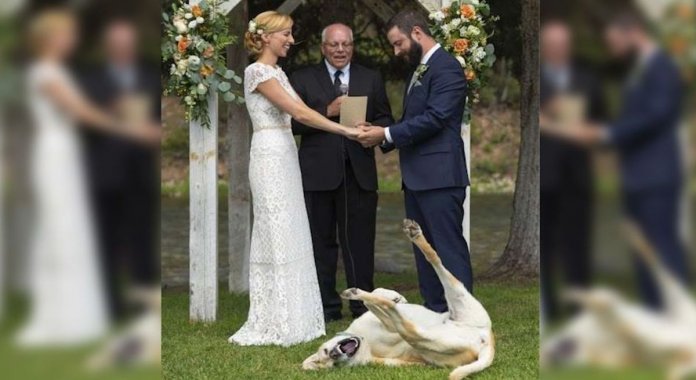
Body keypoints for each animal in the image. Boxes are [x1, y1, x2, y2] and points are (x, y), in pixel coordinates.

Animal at [304, 218, 494, 378]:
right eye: (333, 363)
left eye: (326, 352)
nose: (335, 354)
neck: (363, 339)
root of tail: (486, 342)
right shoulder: (389, 334)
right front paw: (388, 299)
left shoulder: (381, 323)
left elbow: (374, 298)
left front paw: (395, 297)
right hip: (431, 334)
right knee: (406, 324)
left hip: (460, 299)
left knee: (434, 260)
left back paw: (414, 235)